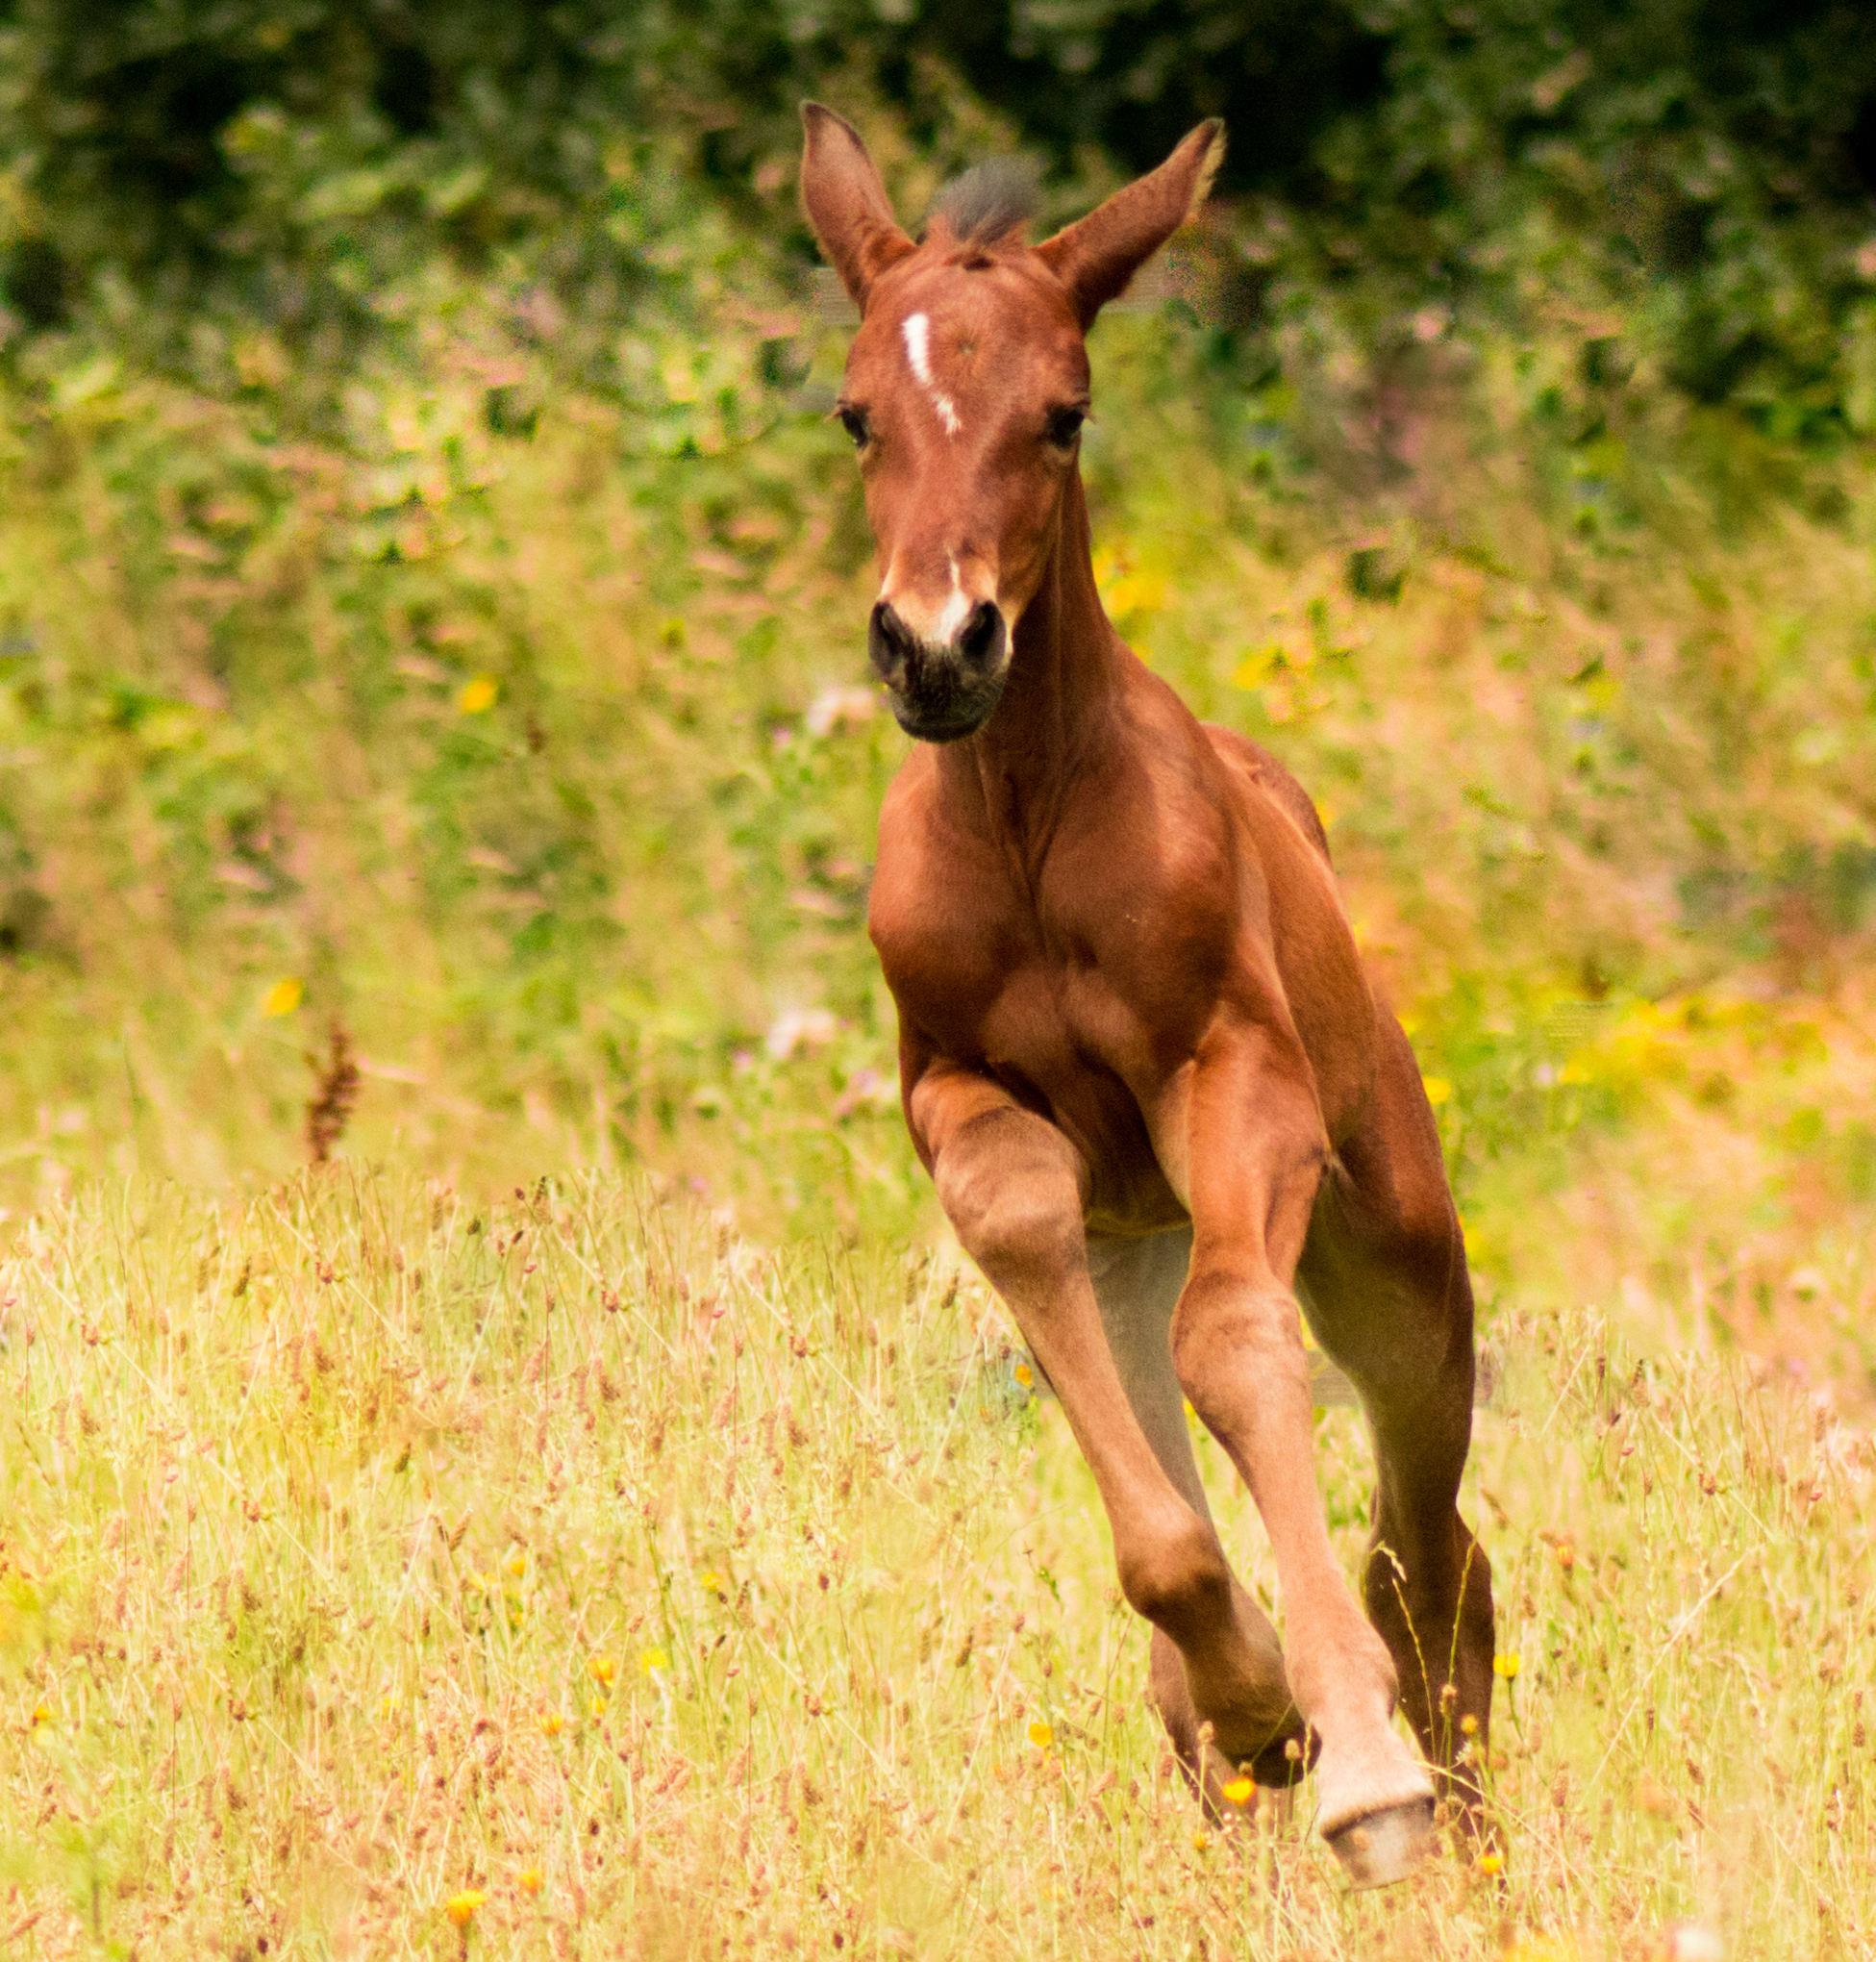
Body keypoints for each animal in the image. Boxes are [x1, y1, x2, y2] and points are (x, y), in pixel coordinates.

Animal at [800, 107, 1491, 1883]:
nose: (936, 647)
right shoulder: (957, 1095)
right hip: (1143, 1229)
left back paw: (1447, 1798)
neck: (1031, 825)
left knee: (1433, 1548)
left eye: (1063, 413)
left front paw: (1365, 1776)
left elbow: (1237, 1347)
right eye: (855, 412)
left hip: (1397, 1255)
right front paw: (1257, 1709)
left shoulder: (1230, 1078)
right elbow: (1046, 1268)